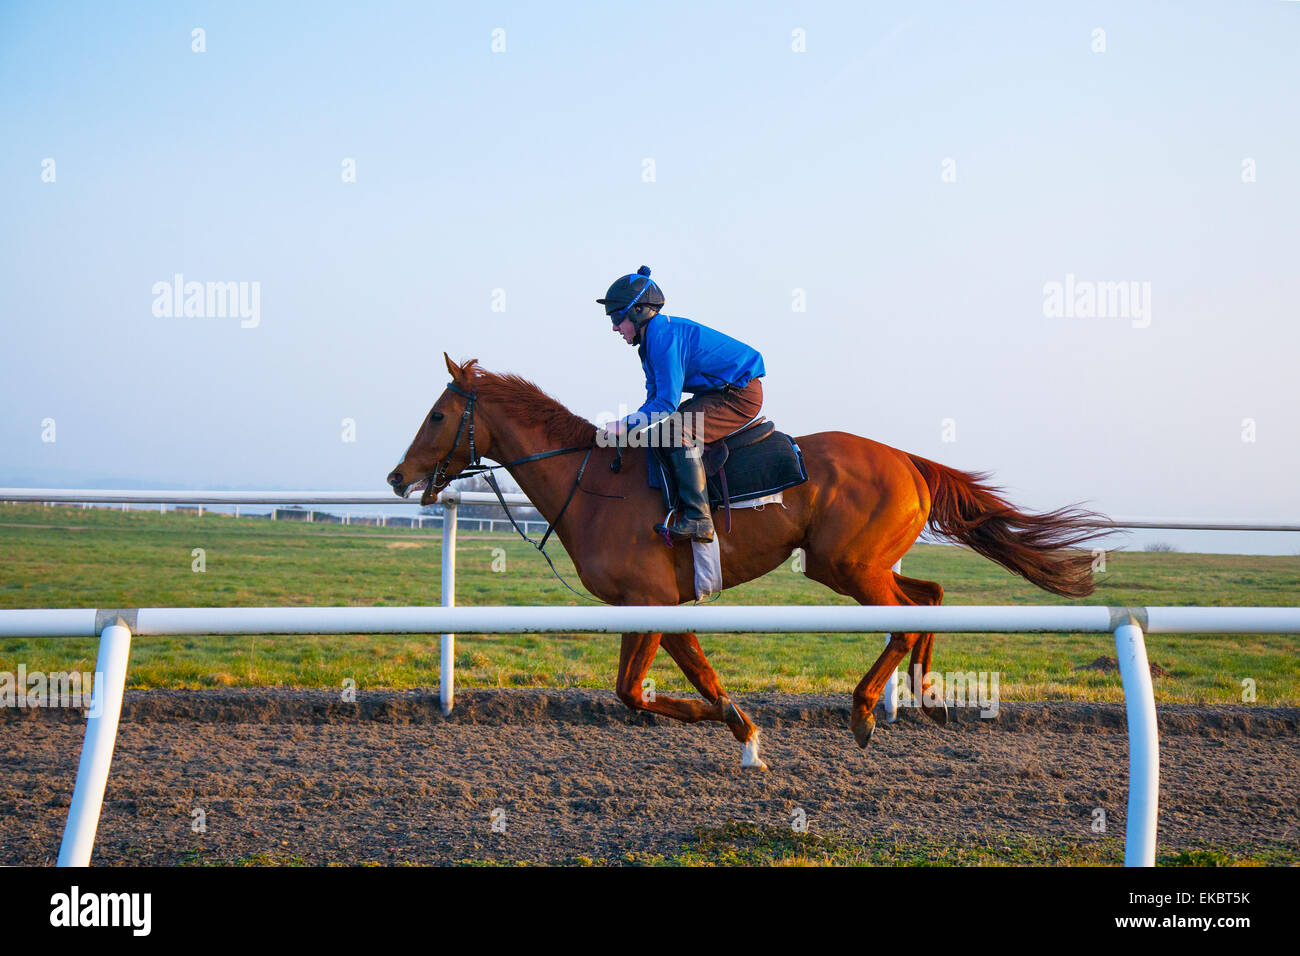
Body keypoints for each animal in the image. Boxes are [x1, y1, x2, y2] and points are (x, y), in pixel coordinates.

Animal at [387, 354, 1109, 770]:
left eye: (438, 415)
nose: (396, 477)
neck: (590, 481)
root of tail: (908, 461)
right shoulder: (641, 604)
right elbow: (644, 688)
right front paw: (742, 732)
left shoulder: (655, 600)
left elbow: (673, 682)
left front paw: (748, 734)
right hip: (859, 565)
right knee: (928, 595)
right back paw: (928, 694)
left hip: (844, 566)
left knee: (906, 618)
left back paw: (865, 710)